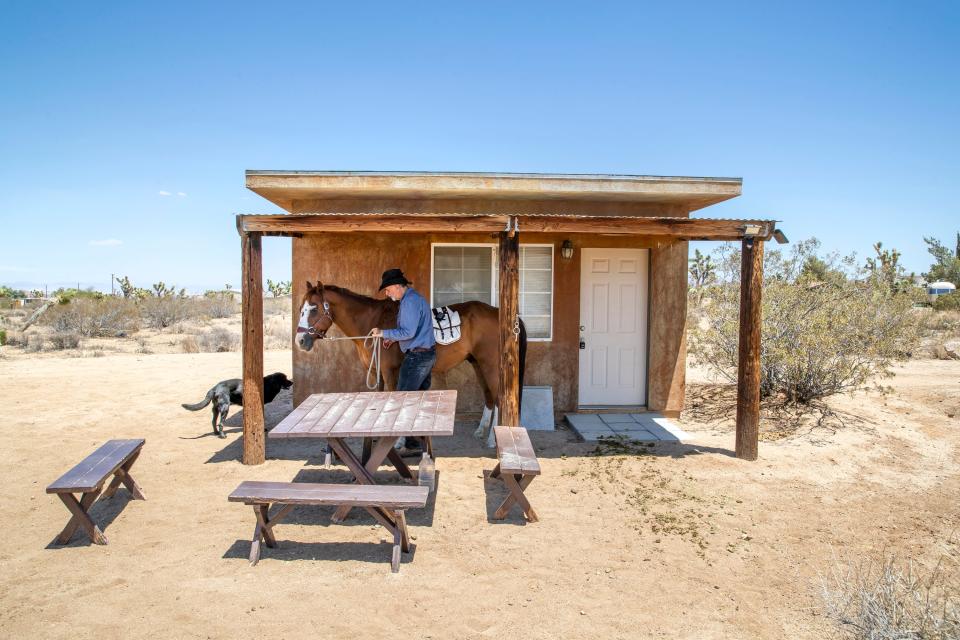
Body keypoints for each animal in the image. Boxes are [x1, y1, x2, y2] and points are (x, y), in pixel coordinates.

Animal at [296, 282, 528, 442]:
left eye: (314, 308)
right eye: (301, 309)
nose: (300, 341)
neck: (372, 322)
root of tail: (501, 315)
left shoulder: (390, 372)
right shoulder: (377, 374)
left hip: (491, 366)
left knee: (499, 397)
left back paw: (493, 439)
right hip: (478, 364)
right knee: (489, 396)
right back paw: (481, 431)